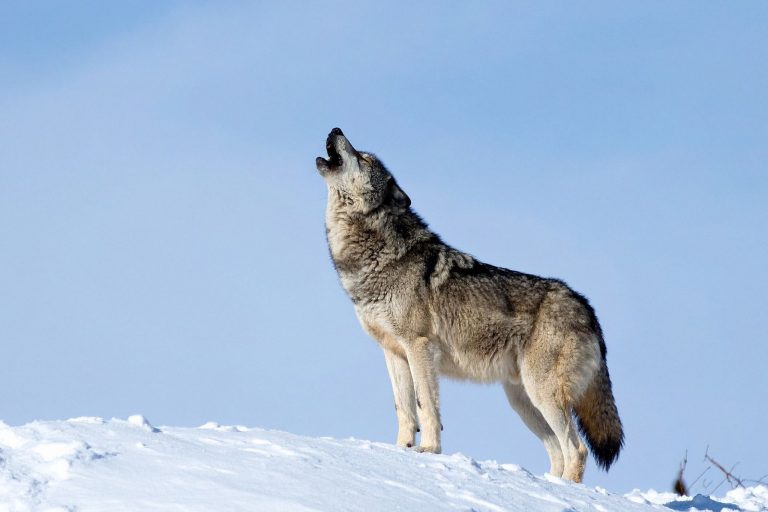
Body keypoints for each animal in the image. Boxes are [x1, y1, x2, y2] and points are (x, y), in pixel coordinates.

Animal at [315, 128, 623, 482]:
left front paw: (428, 450)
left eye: (364, 158)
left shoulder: (419, 346)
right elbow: (404, 409)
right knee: (558, 451)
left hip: (543, 394)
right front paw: (400, 450)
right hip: (523, 402)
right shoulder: (393, 352)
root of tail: (587, 308)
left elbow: (425, 405)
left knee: (577, 449)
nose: (335, 129)